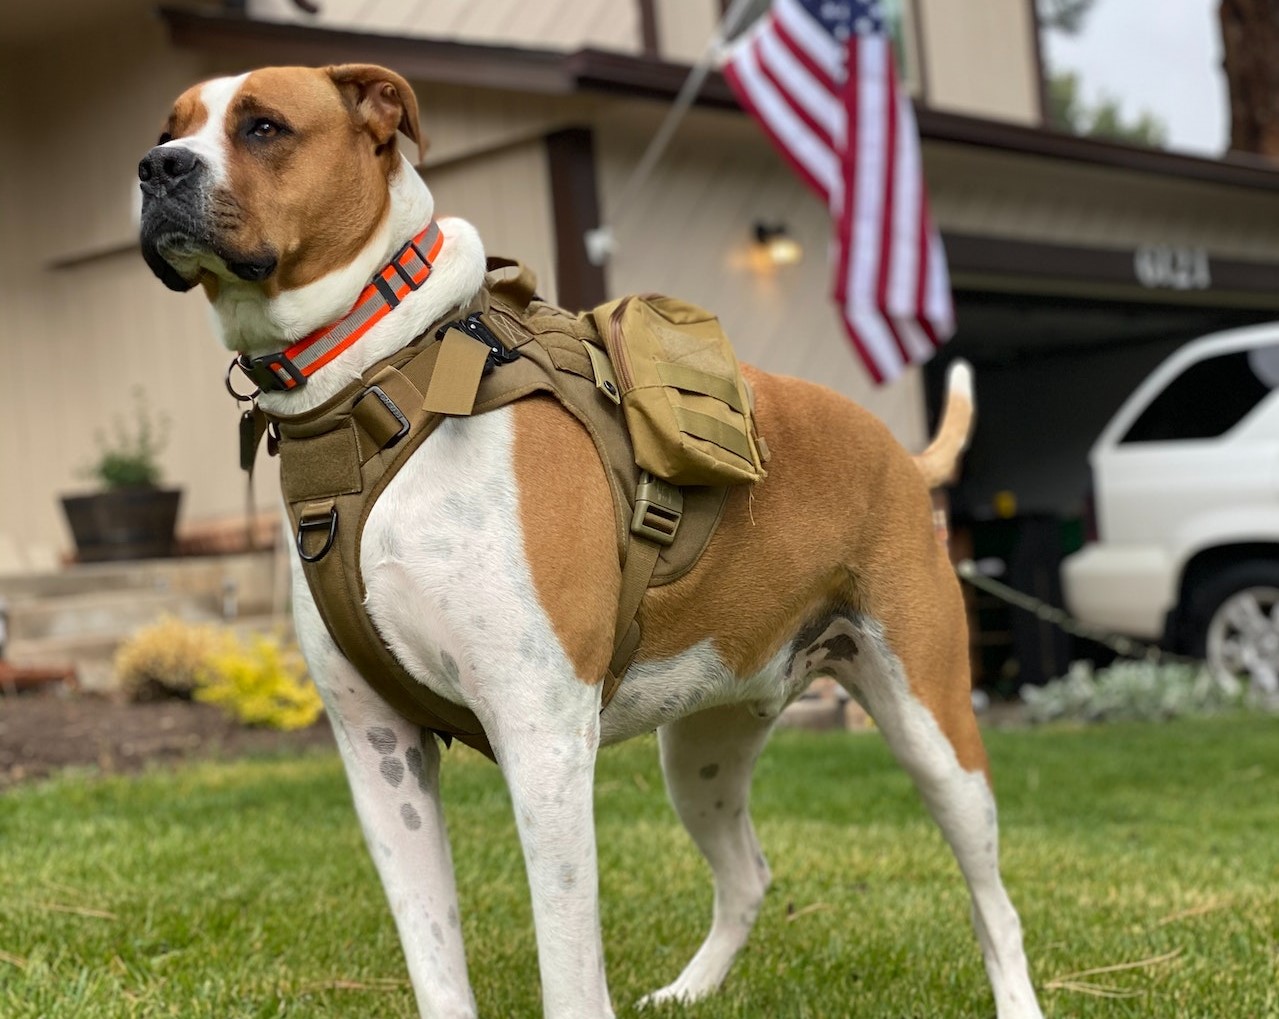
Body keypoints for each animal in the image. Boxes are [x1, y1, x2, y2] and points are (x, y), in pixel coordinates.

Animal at [137, 63, 1038, 1017]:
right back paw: (688, 990)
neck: (373, 378)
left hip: (935, 735)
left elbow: (568, 965)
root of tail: (899, 452)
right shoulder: (381, 756)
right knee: (748, 874)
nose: (156, 168)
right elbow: (433, 955)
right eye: (170, 127)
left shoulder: (542, 742)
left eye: (263, 126)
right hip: (704, 752)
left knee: (993, 900)